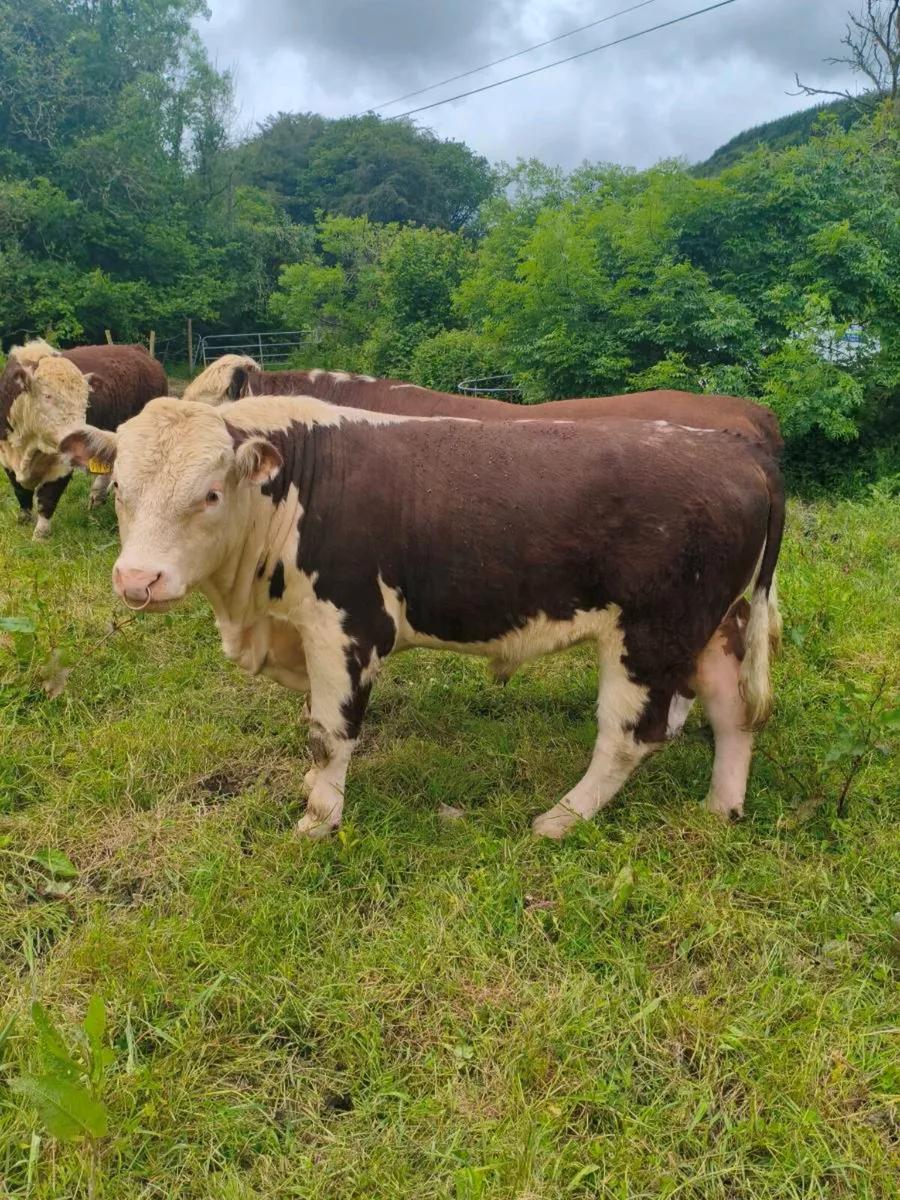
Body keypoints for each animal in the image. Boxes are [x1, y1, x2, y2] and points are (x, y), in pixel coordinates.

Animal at [0, 339, 168, 537]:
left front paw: (40, 535)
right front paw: (24, 520)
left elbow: (47, 498)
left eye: (86, 399)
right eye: (47, 396)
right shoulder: (6, 456)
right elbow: (21, 493)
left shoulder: (62, 464)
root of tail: (138, 349)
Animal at [59, 395, 785, 841]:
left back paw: (561, 818)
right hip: (713, 623)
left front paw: (317, 820)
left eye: (209, 494)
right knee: (734, 711)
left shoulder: (348, 627)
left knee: (631, 735)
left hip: (651, 633)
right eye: (118, 486)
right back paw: (721, 806)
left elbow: (329, 732)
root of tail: (735, 449)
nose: (138, 580)